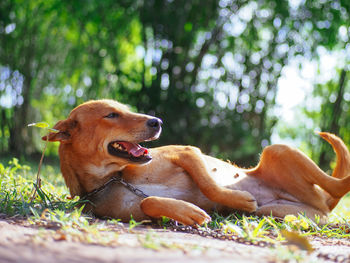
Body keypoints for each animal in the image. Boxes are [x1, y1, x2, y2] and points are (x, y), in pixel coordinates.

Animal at [43, 100, 350, 226]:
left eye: (125, 109)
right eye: (111, 115)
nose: (158, 121)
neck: (113, 177)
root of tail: (322, 203)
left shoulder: (187, 152)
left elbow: (209, 184)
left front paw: (237, 197)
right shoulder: (136, 215)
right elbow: (148, 201)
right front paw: (188, 212)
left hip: (277, 150)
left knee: (339, 184)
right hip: (279, 212)